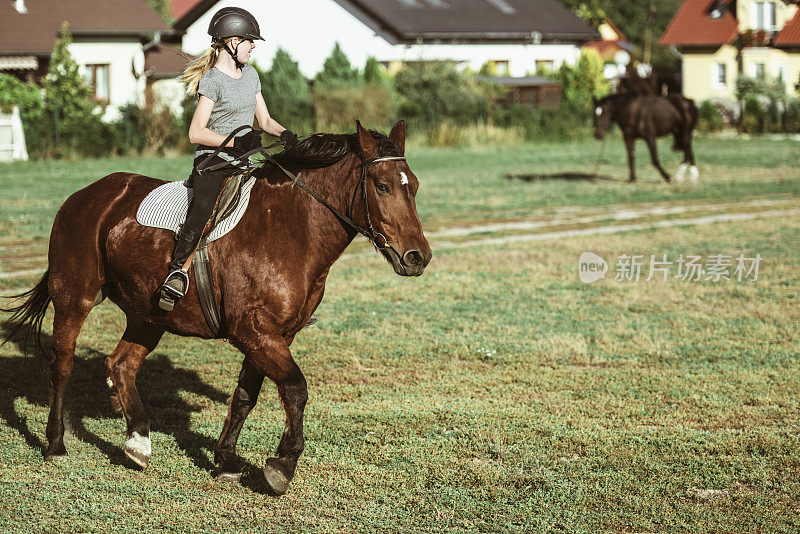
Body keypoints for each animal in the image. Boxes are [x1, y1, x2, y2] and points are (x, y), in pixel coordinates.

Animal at [1, 121, 432, 498]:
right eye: (382, 186)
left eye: (414, 186)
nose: (418, 257)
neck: (291, 229)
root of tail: (85, 196)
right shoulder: (254, 332)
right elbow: (295, 388)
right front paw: (282, 465)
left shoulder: (274, 335)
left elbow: (245, 396)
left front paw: (225, 460)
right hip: (75, 298)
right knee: (62, 364)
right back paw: (55, 443)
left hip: (148, 314)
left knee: (121, 365)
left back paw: (138, 441)